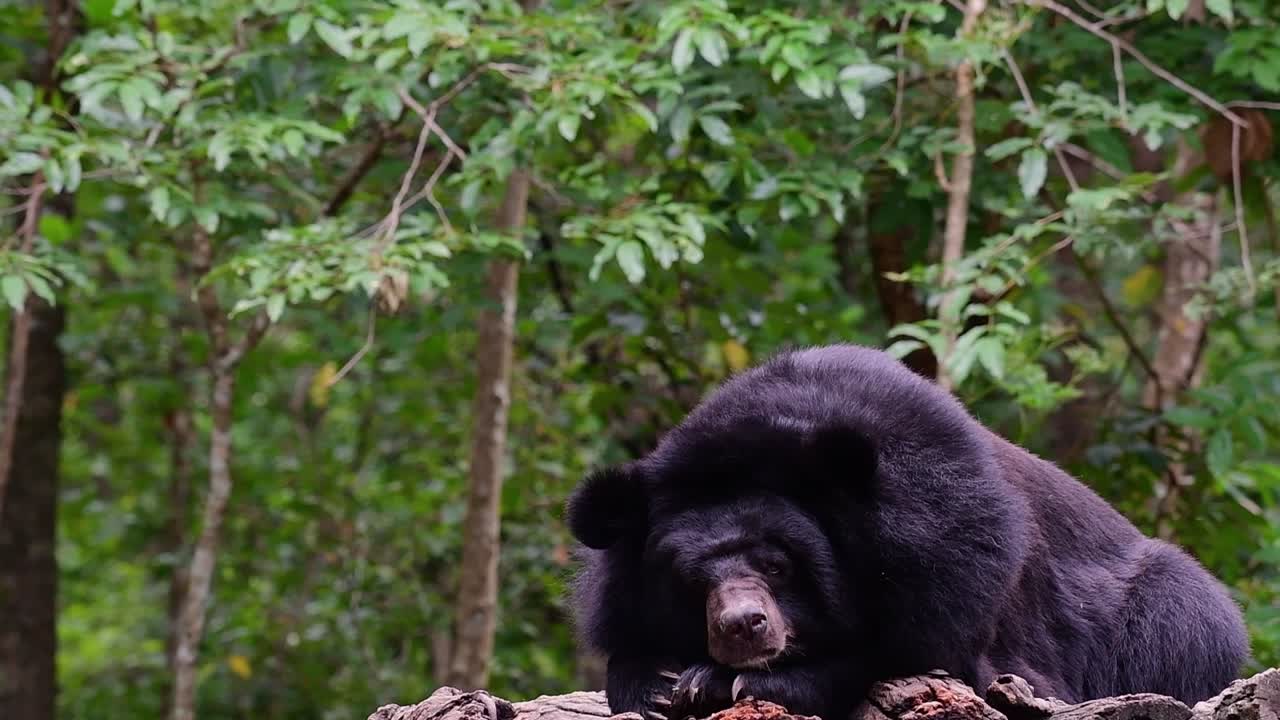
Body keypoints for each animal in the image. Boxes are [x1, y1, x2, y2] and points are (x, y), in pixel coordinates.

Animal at [565, 344, 1249, 720]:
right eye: (689, 580)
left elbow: (917, 656)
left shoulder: (954, 550)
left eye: (778, 565)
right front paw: (654, 684)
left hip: (1169, 617)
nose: (743, 627)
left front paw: (723, 680)